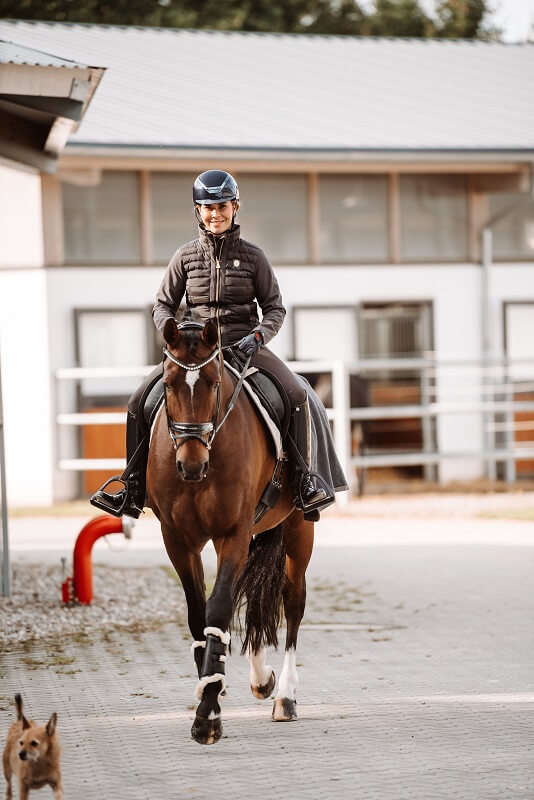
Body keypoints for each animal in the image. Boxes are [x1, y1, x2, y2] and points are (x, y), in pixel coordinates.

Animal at [147, 312, 316, 744]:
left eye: (213, 382)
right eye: (168, 383)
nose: (191, 464)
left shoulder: (233, 533)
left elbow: (219, 607)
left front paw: (207, 715)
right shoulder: (177, 540)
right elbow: (200, 615)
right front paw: (211, 688)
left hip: (298, 530)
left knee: (292, 602)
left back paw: (285, 696)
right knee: (253, 598)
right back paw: (260, 678)